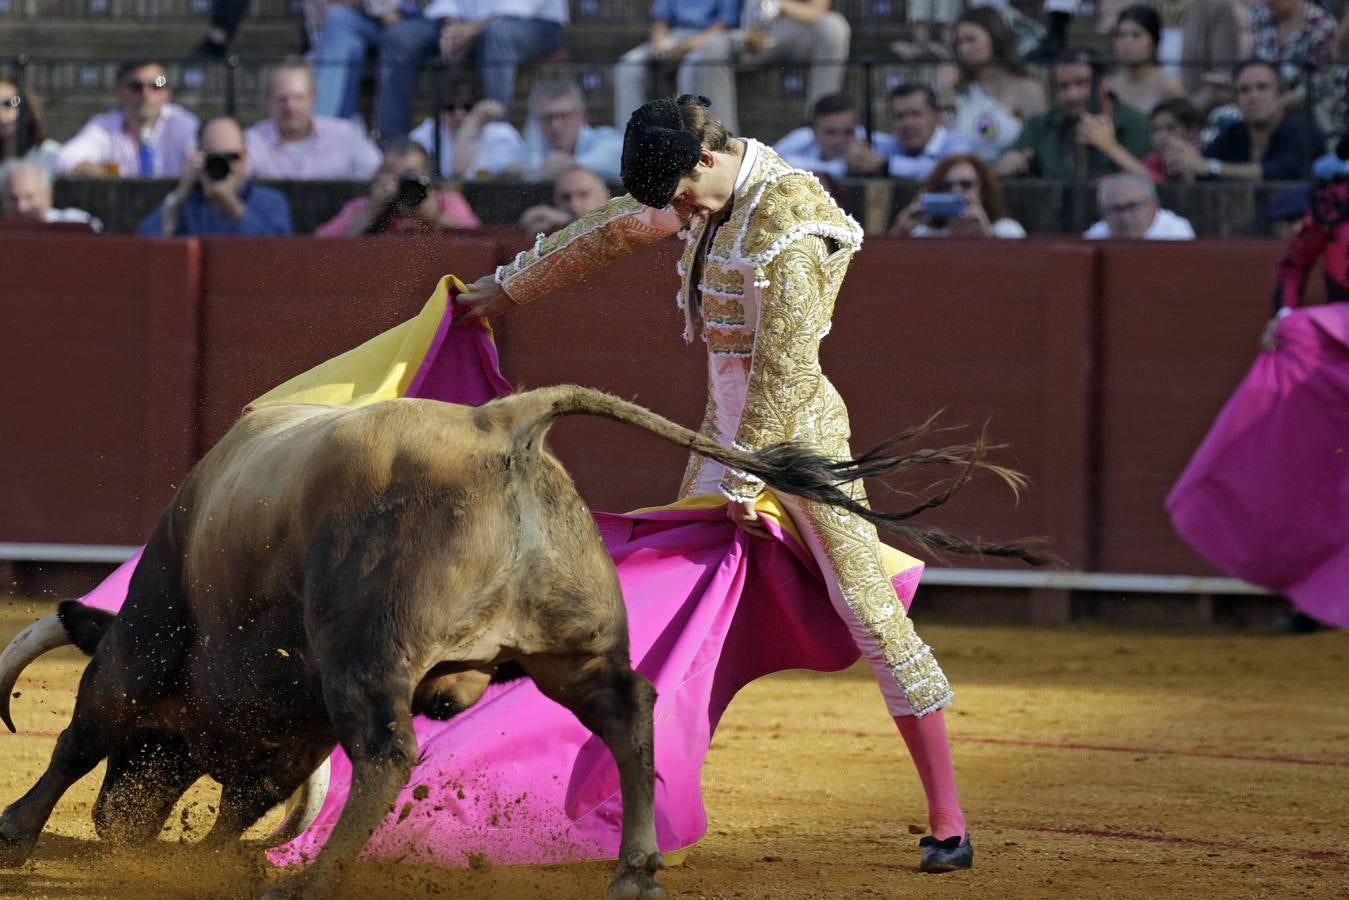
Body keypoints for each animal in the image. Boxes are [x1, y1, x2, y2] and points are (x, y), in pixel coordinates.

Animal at [0, 383, 1041, 895]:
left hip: (369, 654)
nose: (118, 826)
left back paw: (313, 882)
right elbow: (246, 792)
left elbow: (81, 733)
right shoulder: (276, 726)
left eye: (155, 747)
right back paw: (634, 867)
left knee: (386, 753)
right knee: (628, 709)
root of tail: (498, 424)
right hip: (569, 649)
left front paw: (16, 833)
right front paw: (210, 854)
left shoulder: (144, 647)